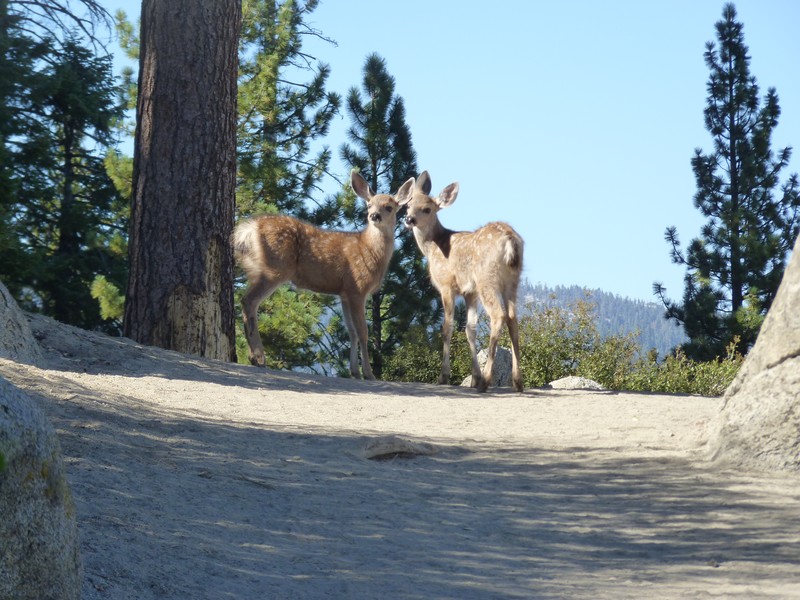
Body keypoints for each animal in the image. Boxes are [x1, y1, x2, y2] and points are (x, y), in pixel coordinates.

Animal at [233, 170, 414, 379]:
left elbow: (351, 332)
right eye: (369, 204)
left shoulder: (344, 292)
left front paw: (354, 371)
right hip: (274, 268)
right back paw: (258, 357)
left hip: (258, 269)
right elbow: (363, 331)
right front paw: (368, 374)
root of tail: (247, 230)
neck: (369, 250)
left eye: (389, 207)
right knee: (249, 301)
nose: (374, 215)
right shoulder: (357, 287)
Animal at [398, 171, 524, 392]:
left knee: (498, 315)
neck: (433, 247)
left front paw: (444, 376)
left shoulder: (447, 285)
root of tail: (510, 240)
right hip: (513, 281)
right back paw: (517, 381)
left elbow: (447, 327)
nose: (409, 219)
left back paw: (486, 380)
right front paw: (473, 377)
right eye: (408, 205)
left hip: (486, 279)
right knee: (512, 318)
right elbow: (469, 329)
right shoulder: (469, 292)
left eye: (427, 209)